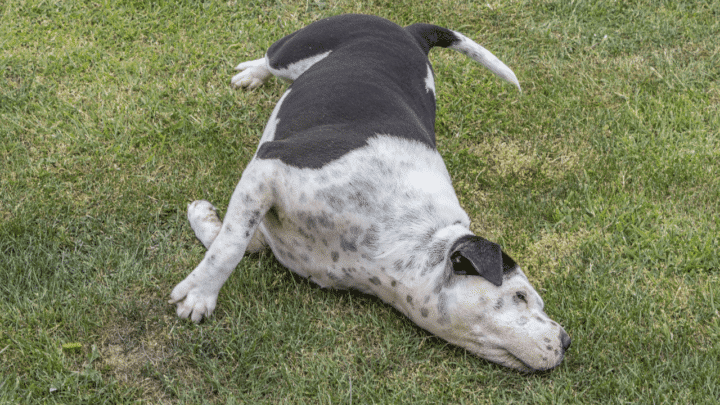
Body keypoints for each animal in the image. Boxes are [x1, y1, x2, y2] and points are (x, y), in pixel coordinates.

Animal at [172, 13, 572, 372]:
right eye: (519, 296)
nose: (567, 340)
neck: (407, 240)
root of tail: (410, 33)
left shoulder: (271, 223)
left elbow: (238, 240)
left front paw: (202, 217)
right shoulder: (269, 168)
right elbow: (228, 248)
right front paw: (201, 294)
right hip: (297, 49)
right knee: (271, 59)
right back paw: (253, 73)